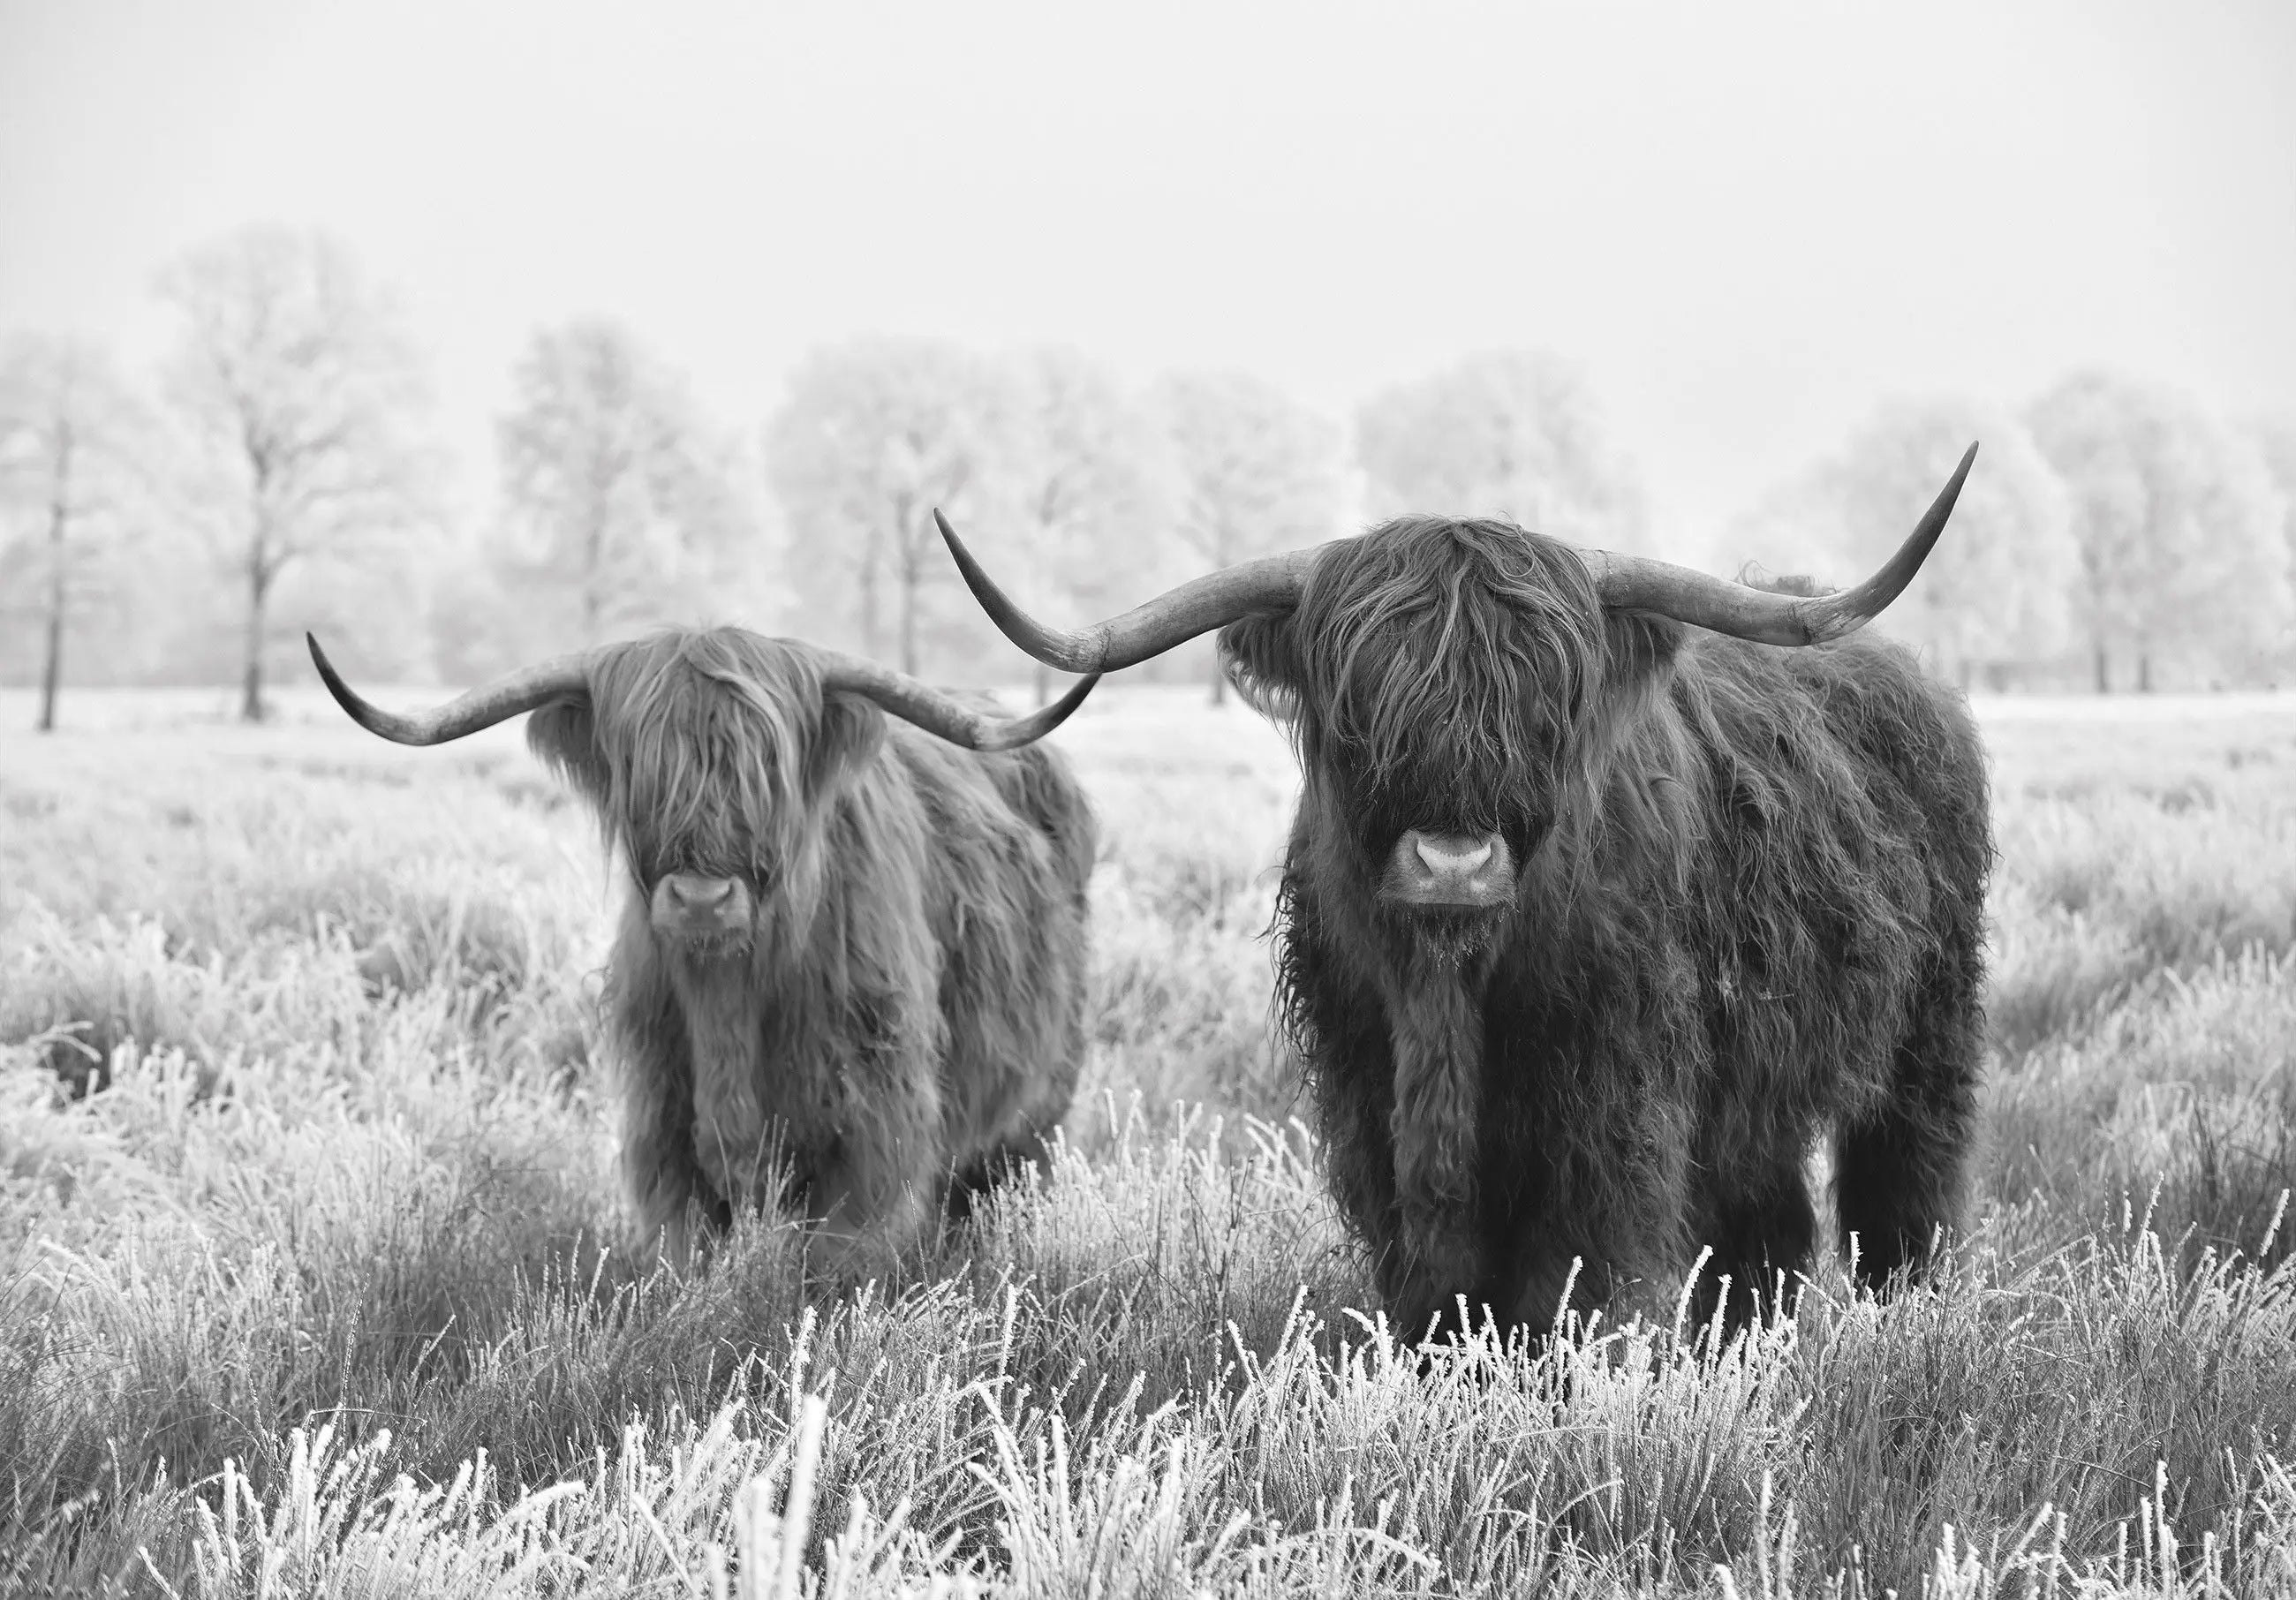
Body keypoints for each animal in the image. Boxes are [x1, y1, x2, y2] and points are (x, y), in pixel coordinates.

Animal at [312, 624, 1102, 1276]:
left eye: (766, 771)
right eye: (640, 768)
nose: (700, 898)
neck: (730, 997)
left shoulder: (873, 1132)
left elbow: (841, 1265)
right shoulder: (663, 1130)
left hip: (1037, 1111)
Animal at [941, 442, 2002, 1340]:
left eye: (1548, 701)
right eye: (1360, 698)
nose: (1453, 866)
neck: (1447, 994)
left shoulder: (1610, 1105)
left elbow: (1570, 1280)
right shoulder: (1369, 1098)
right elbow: (1432, 1285)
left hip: (1929, 1028)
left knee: (1906, 1180)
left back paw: (1906, 1318)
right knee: (1766, 1221)